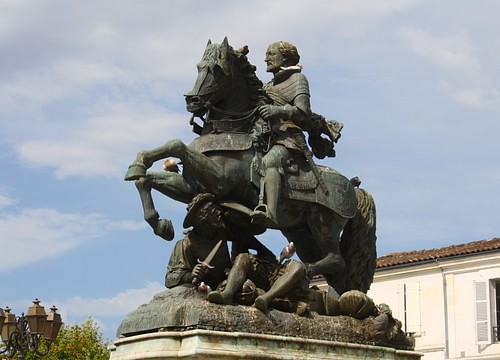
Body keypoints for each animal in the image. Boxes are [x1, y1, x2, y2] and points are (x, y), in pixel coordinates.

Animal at [124, 38, 376, 294]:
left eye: (217, 70)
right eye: (198, 66)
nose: (191, 100)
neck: (230, 131)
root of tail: (354, 188)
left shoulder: (220, 180)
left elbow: (177, 145)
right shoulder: (192, 187)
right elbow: (149, 178)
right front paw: (158, 220)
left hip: (322, 223)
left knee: (336, 260)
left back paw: (298, 272)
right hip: (301, 232)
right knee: (335, 269)